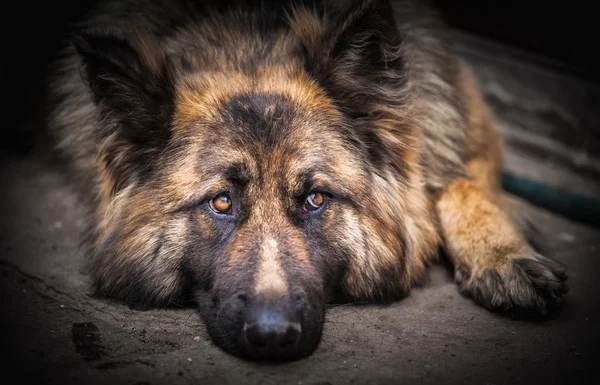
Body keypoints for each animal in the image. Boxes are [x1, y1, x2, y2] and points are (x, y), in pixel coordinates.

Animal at [47, 0, 568, 360]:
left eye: (316, 198)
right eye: (221, 202)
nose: (273, 336)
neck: (248, 40)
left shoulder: (467, 121)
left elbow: (459, 182)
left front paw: (501, 254)